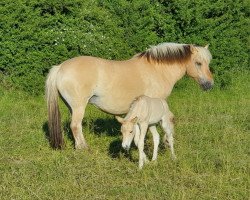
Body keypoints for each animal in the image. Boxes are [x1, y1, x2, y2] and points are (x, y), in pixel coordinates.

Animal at [45, 42, 213, 148]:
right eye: (198, 63)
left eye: (208, 63)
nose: (209, 84)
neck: (158, 70)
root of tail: (60, 67)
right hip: (79, 106)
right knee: (75, 126)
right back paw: (83, 148)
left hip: (72, 107)